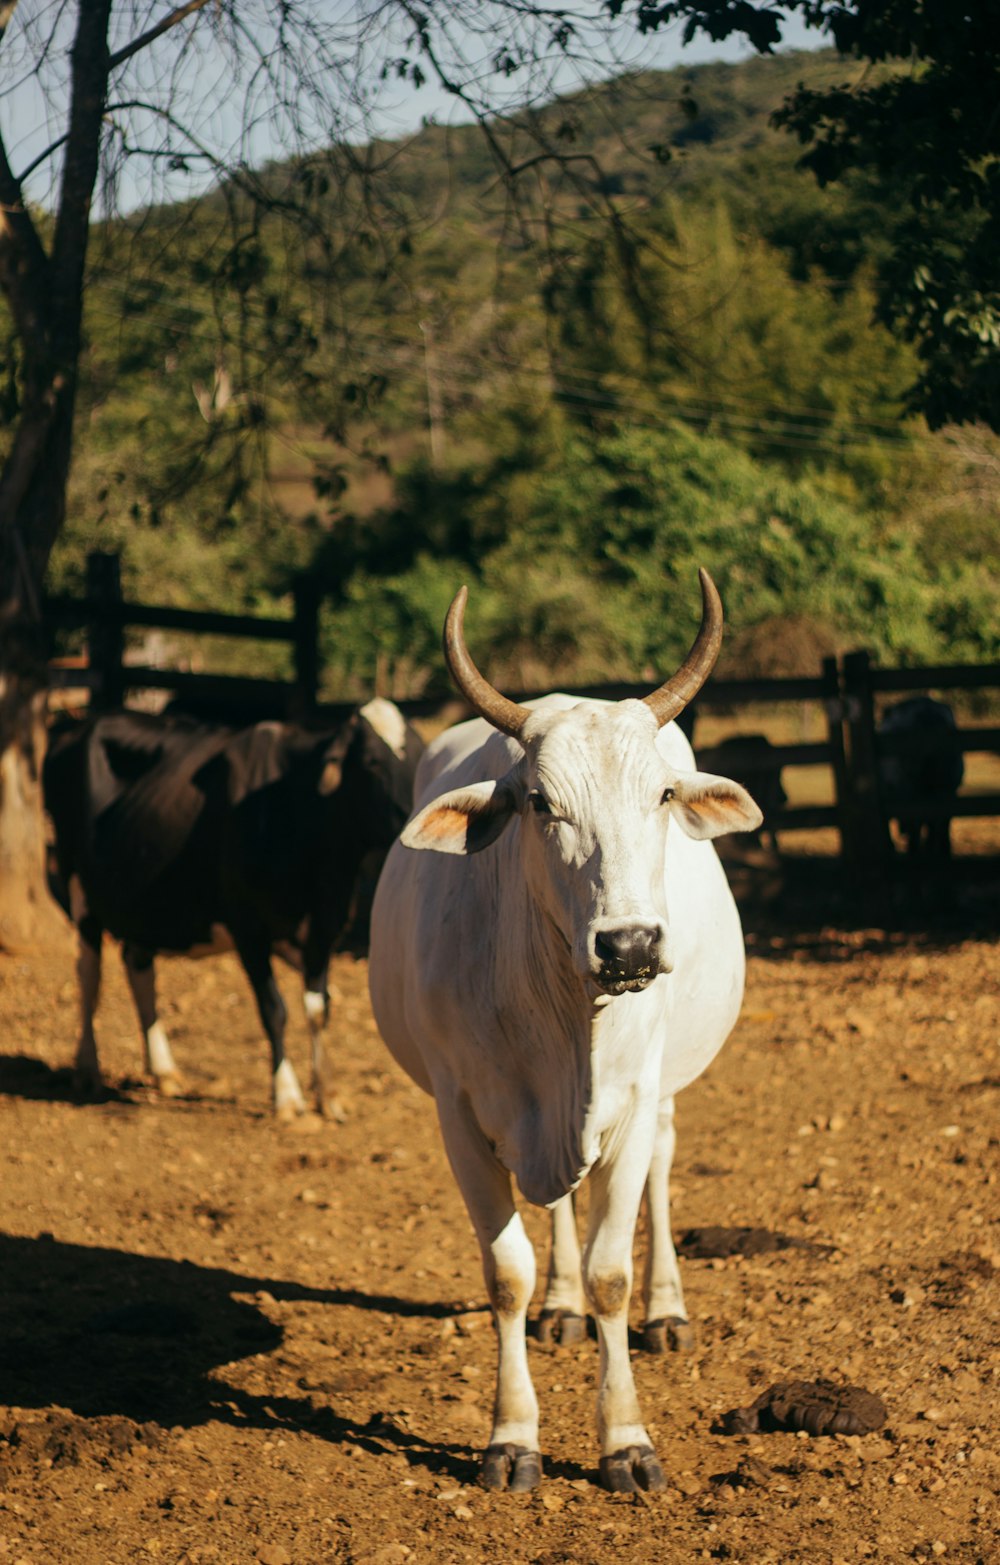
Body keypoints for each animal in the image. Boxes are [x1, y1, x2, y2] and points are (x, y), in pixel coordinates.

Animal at [44, 697, 419, 1114]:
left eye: (419, 756)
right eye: (371, 761)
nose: (409, 817)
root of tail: (79, 727)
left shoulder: (326, 925)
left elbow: (319, 1009)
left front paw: (329, 1094)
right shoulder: (248, 928)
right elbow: (274, 1009)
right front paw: (287, 1095)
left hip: (142, 896)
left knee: (138, 967)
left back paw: (164, 1070)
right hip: (77, 885)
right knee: (89, 975)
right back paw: (87, 1067)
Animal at [367, 572, 757, 1489]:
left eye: (661, 793)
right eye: (540, 802)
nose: (631, 944)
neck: (562, 1017)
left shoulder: (632, 1095)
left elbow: (615, 1268)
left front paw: (626, 1440)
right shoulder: (459, 1114)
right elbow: (506, 1272)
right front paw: (512, 1436)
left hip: (662, 1091)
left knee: (660, 1171)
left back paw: (667, 1310)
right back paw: (563, 1304)